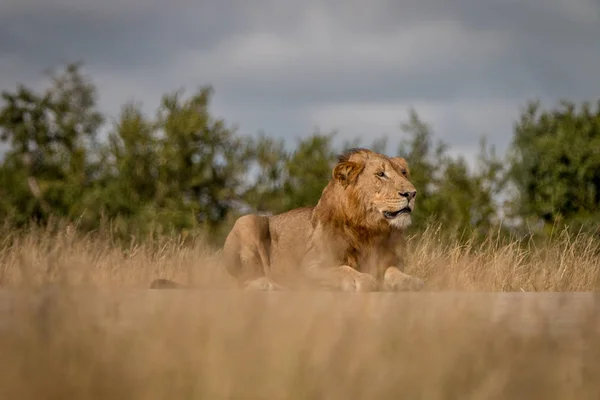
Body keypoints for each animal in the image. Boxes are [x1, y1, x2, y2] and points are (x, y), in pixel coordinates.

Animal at [149, 148, 422, 292]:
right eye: (381, 174)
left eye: (403, 173)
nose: (411, 193)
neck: (370, 230)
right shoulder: (311, 266)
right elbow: (342, 269)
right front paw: (363, 279)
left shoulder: (390, 259)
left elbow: (394, 271)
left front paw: (410, 281)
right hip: (247, 221)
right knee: (245, 282)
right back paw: (274, 285)